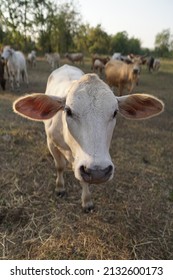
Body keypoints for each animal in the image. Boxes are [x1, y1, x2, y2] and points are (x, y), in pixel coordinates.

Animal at [12, 64, 164, 211]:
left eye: (115, 112)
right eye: (68, 111)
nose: (98, 172)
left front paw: (87, 201)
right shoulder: (51, 142)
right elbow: (60, 166)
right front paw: (60, 187)